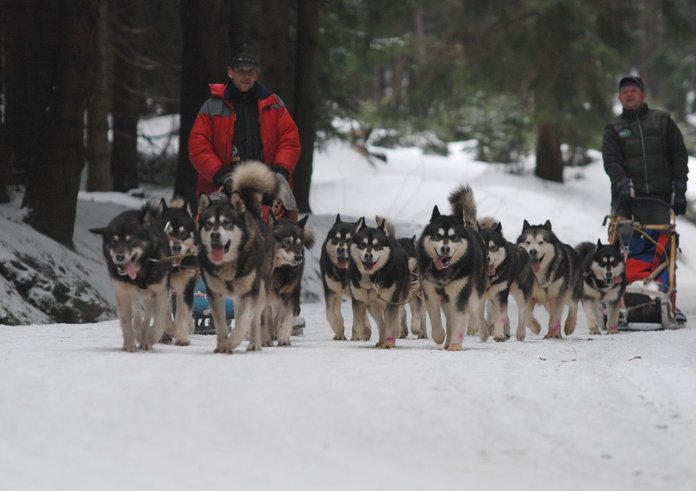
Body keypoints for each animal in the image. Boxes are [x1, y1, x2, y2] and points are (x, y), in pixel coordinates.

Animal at [89, 202, 171, 352]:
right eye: (114, 241)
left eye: (131, 240)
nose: (119, 256)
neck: (140, 274)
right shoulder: (123, 293)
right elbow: (126, 321)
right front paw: (129, 344)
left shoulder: (161, 292)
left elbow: (159, 321)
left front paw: (150, 337)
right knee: (138, 315)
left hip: (150, 298)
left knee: (148, 317)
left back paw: (144, 339)